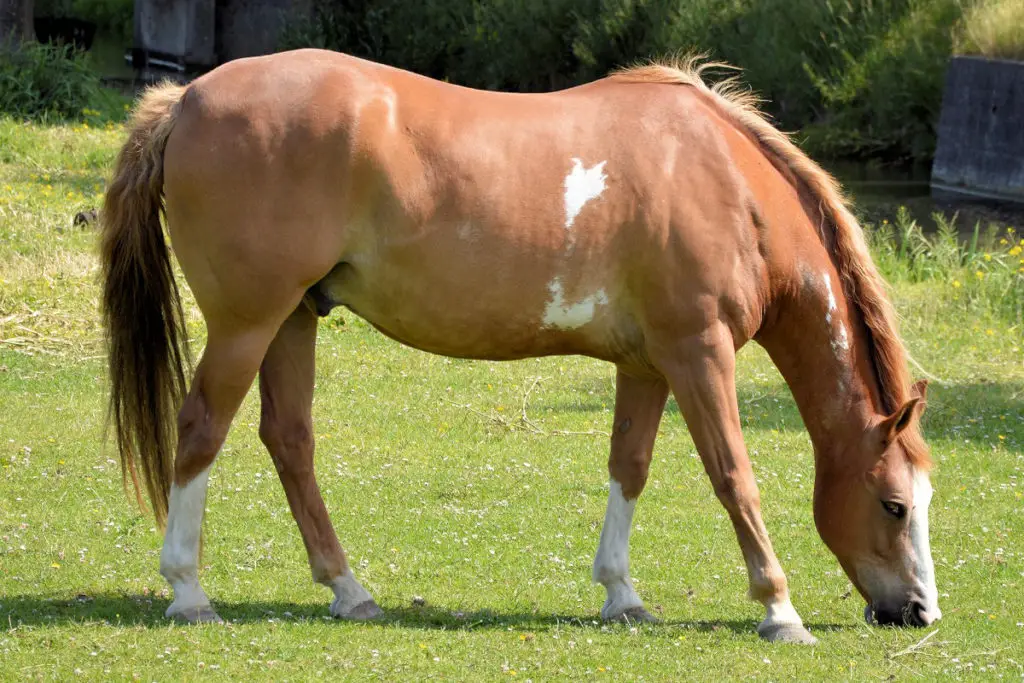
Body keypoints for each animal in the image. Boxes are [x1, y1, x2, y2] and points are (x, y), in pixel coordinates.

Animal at [99, 50, 937, 643]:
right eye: (894, 505)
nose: (920, 610)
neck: (727, 183)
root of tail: (188, 100)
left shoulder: (648, 364)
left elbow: (630, 467)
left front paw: (622, 593)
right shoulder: (700, 354)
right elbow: (735, 475)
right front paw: (778, 607)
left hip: (293, 318)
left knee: (289, 439)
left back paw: (349, 589)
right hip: (247, 321)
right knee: (201, 428)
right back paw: (188, 590)